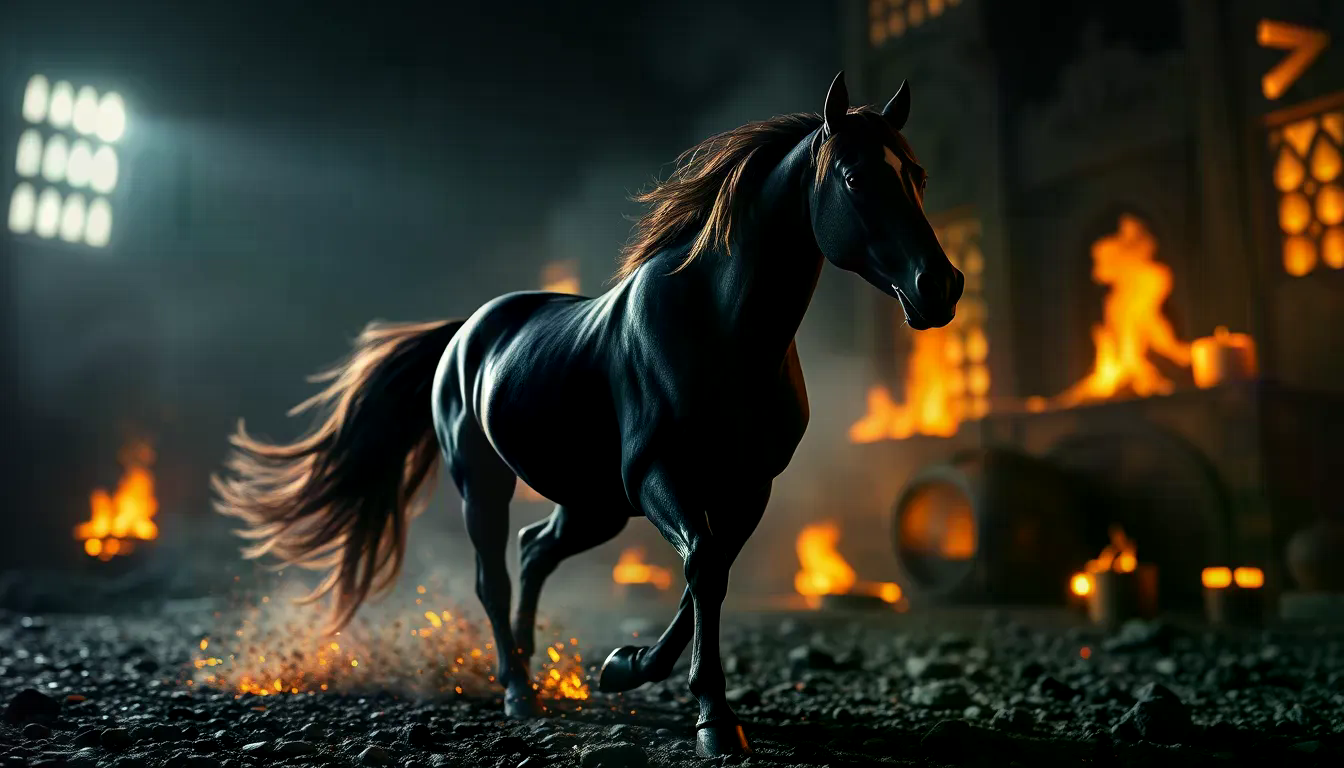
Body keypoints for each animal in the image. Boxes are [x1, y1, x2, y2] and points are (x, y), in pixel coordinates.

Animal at [211, 71, 963, 758]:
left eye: (919, 176)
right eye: (856, 177)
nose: (941, 286)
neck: (721, 331)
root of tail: (464, 331)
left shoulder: (748, 488)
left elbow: (708, 575)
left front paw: (626, 670)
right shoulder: (658, 478)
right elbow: (702, 568)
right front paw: (709, 718)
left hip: (593, 505)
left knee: (535, 549)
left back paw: (532, 666)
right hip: (487, 483)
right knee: (493, 573)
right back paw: (518, 690)